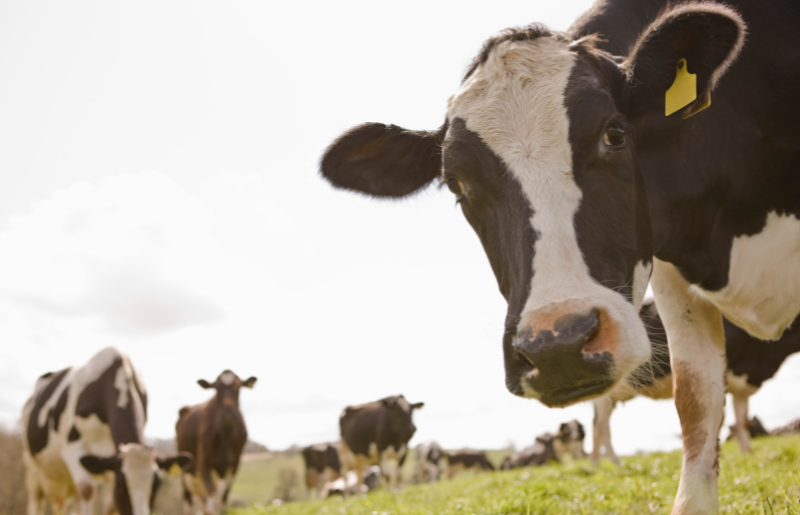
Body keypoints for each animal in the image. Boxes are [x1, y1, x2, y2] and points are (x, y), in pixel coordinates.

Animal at [21, 347, 191, 515]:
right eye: (122, 487)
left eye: (156, 486)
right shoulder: (73, 448)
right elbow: (87, 490)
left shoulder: (111, 460)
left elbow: (111, 505)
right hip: (32, 468)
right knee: (35, 502)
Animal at [176, 370, 256, 515]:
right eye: (217, 389)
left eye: (238, 388)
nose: (228, 415)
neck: (225, 436)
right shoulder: (203, 461)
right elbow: (212, 492)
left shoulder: (234, 464)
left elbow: (223, 496)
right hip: (184, 467)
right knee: (188, 498)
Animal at [592, 299, 800, 464]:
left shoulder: (741, 385)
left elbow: (742, 422)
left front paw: (747, 454)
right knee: (600, 426)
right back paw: (606, 464)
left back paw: (605, 463)